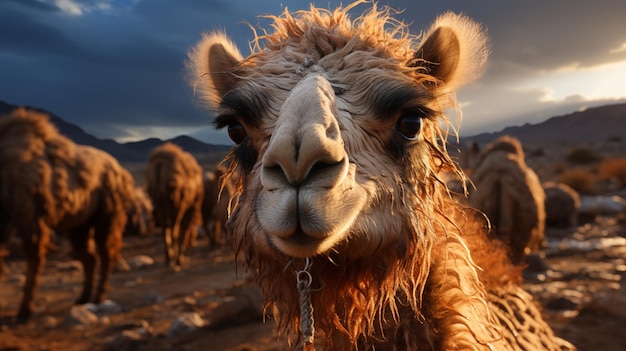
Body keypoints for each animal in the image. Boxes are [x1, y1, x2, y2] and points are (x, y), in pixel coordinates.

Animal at [0, 108, 134, 324]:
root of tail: (123, 174)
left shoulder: (29, 216)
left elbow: (34, 258)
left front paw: (25, 311)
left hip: (108, 214)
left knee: (107, 252)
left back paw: (99, 297)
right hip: (79, 223)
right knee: (89, 256)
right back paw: (83, 298)